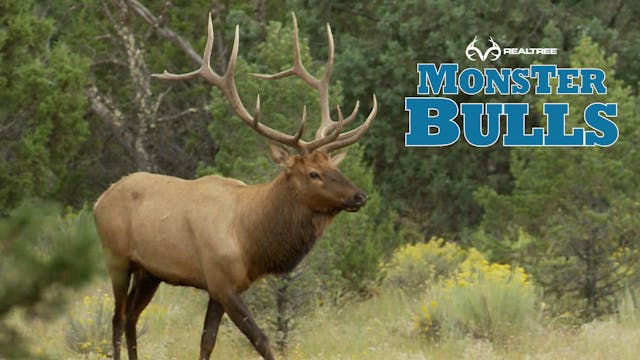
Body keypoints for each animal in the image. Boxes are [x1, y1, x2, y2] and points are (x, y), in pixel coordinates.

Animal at [94, 12, 376, 358]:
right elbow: (262, 340)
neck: (251, 239)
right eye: (313, 173)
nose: (359, 195)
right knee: (118, 318)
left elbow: (207, 340)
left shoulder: (220, 287)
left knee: (133, 316)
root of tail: (98, 201)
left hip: (149, 272)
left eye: (335, 166)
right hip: (117, 257)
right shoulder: (221, 281)